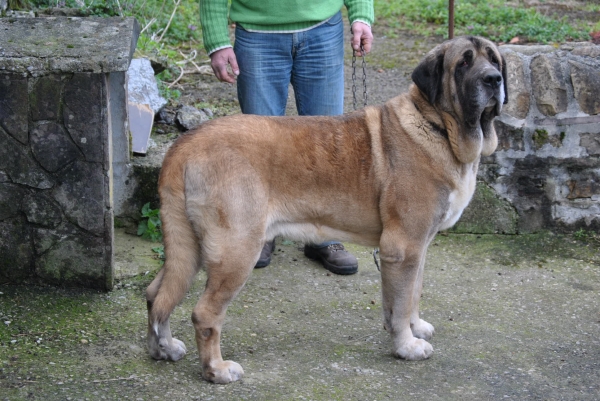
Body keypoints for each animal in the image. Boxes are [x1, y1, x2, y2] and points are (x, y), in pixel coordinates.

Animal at [144, 36, 506, 382]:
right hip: (236, 250)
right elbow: (401, 303)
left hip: (189, 247)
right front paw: (407, 345)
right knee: (204, 313)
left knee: (156, 294)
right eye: (463, 63)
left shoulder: (419, 248)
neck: (437, 125)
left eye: (494, 59)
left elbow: (412, 293)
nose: (494, 79)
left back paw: (163, 348)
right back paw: (216, 370)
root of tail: (185, 143)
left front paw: (415, 328)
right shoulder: (403, 248)